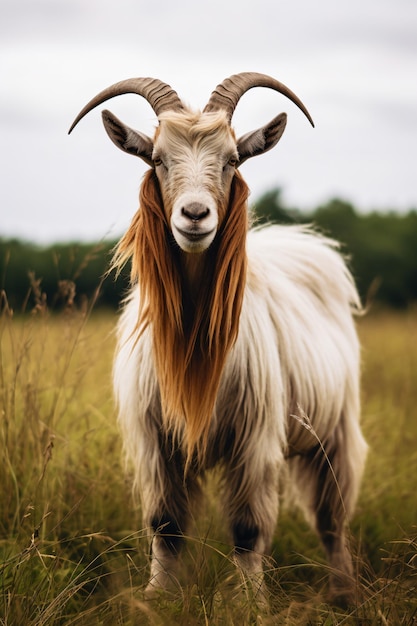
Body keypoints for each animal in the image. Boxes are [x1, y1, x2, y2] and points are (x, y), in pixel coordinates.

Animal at [70, 73, 366, 604]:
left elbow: (248, 530)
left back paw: (343, 593)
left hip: (335, 429)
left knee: (332, 519)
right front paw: (156, 598)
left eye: (231, 159)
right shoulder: (156, 440)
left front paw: (252, 603)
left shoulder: (254, 439)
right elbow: (165, 524)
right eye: (158, 159)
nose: (194, 214)